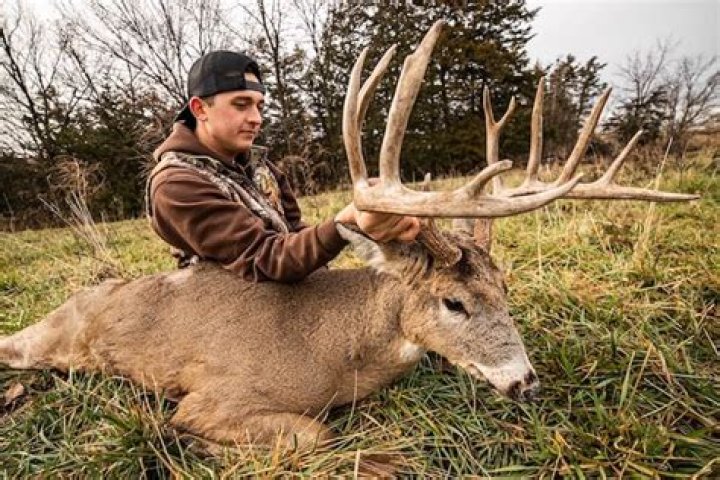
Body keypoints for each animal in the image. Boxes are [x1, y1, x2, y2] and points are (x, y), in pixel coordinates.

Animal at [0, 21, 698, 450]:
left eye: (506, 289)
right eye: (453, 301)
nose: (524, 381)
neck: (340, 350)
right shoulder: (213, 397)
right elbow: (314, 434)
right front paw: (178, 439)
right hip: (51, 336)